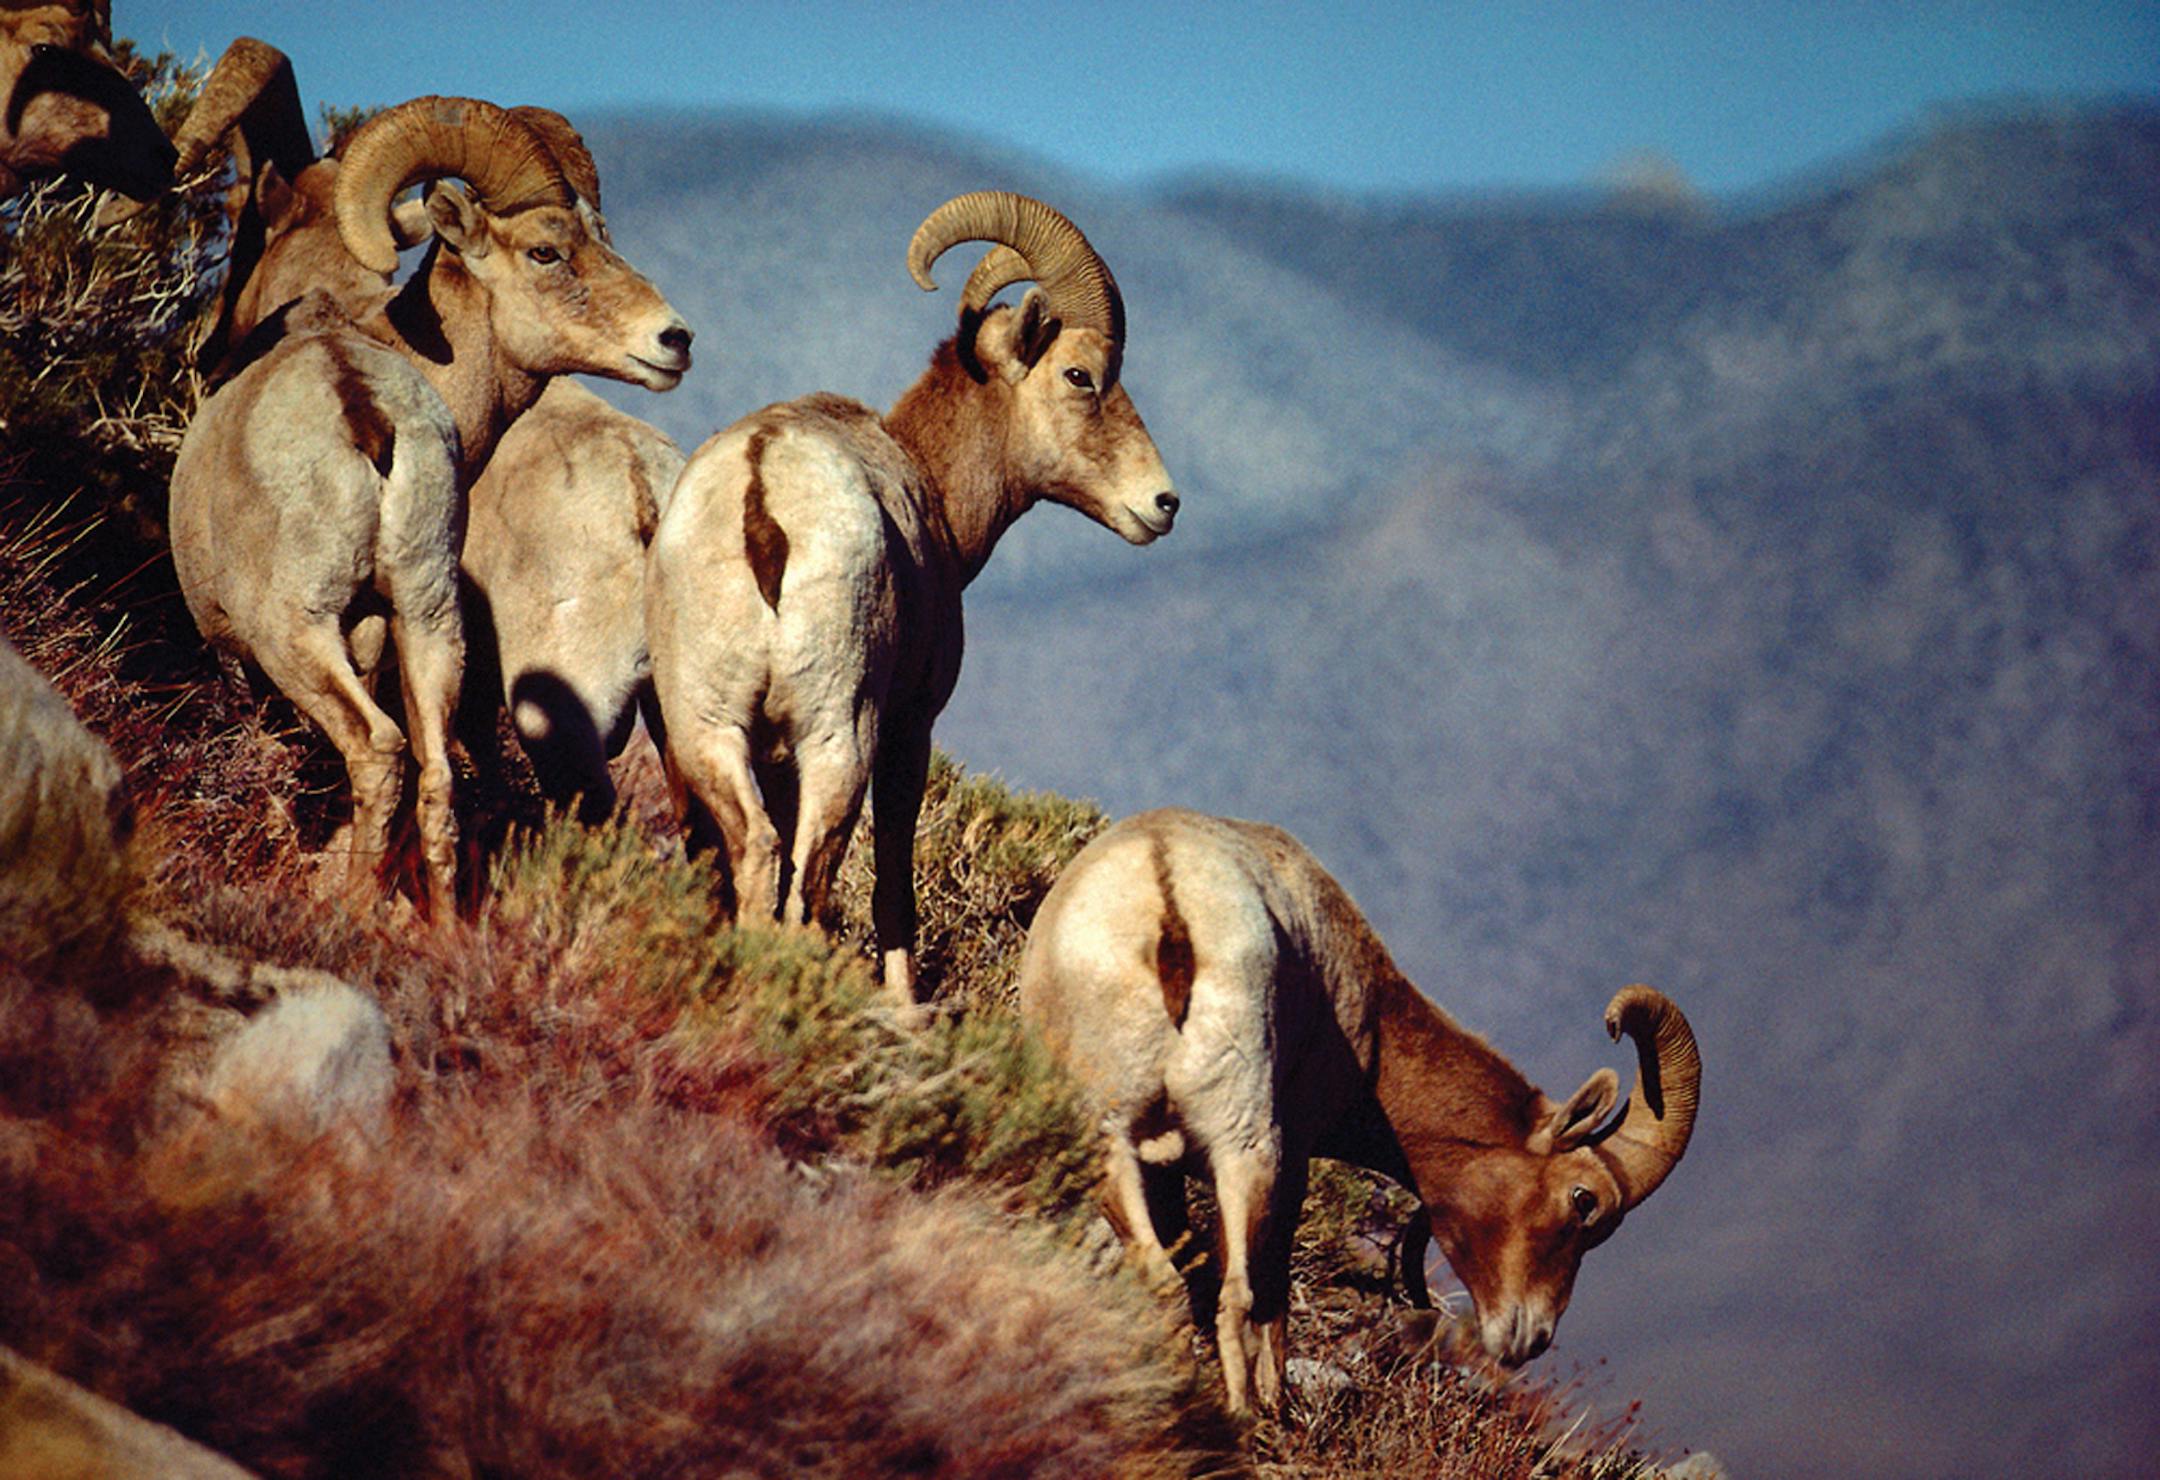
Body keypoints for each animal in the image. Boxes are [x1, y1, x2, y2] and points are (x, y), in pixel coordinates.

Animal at [168, 94, 692, 910]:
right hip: (457, 630)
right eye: (550, 251)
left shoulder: (245, 656)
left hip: (305, 638)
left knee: (384, 753)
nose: (674, 340)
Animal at [647, 191, 1179, 999]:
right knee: (809, 879)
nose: (1162, 504)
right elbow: (893, 877)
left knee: (757, 854)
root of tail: (761, 491)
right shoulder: (910, 728)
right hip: (838, 738)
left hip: (708, 731)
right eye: (1080, 375)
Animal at [1017, 808, 1703, 1413]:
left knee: (1171, 1280)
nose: (1528, 1340)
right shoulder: (1291, 1156)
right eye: (1583, 1200)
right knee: (1238, 1293)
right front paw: (1277, 1400)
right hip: (1244, 1151)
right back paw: (1246, 1418)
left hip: (1123, 1144)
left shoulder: (1165, 1169)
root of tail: (1167, 901)